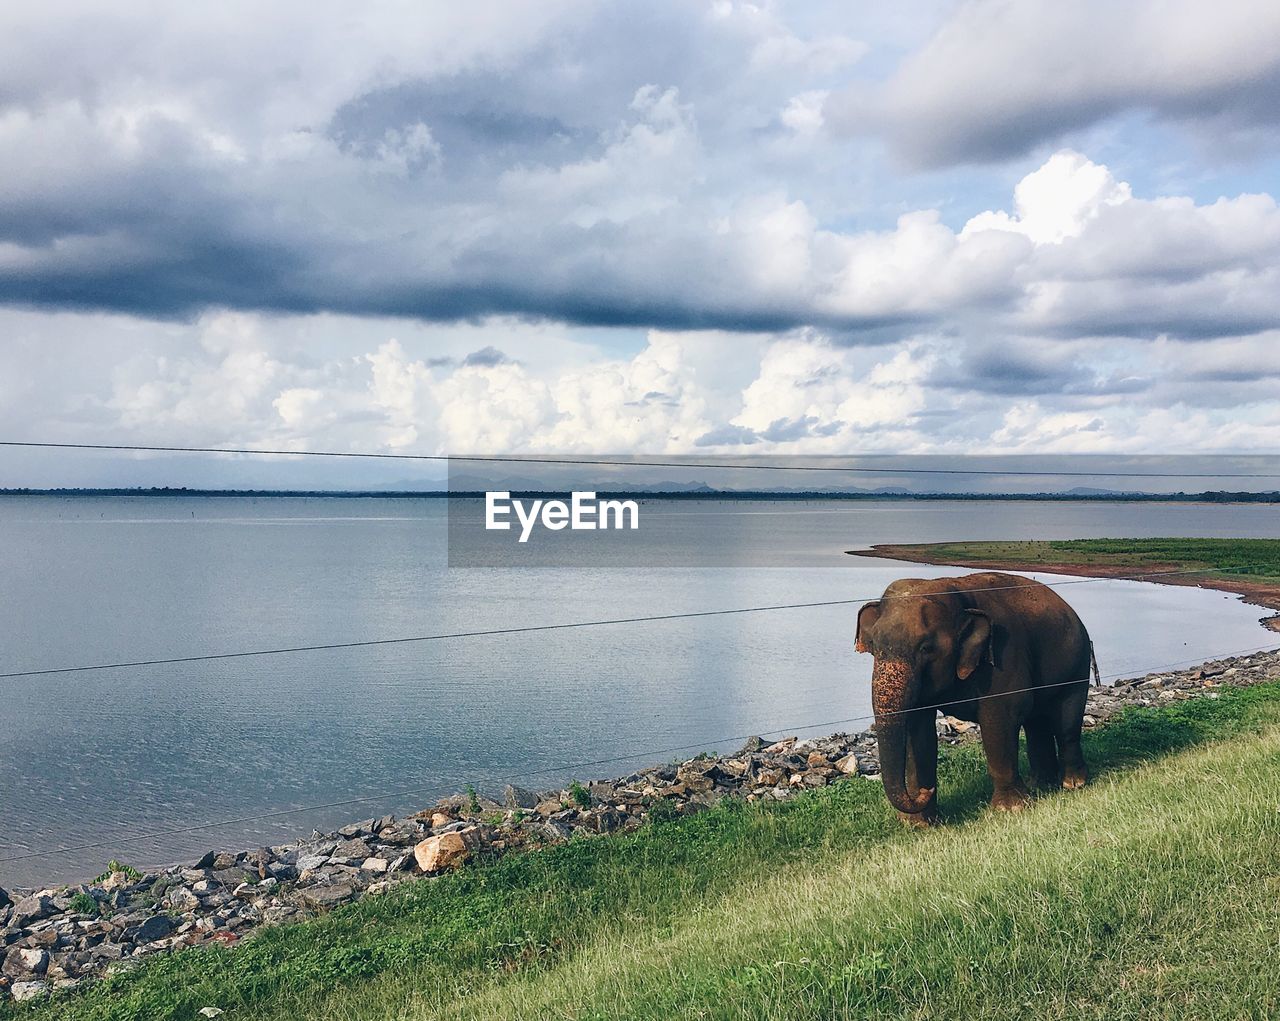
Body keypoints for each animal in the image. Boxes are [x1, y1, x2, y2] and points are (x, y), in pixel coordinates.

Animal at [855, 570, 1095, 829]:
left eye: (926, 648)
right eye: (874, 645)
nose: (925, 791)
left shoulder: (1003, 655)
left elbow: (999, 718)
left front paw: (1009, 809)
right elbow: (918, 732)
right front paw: (918, 824)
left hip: (1078, 663)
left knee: (1066, 723)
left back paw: (1073, 784)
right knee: (1036, 723)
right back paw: (1040, 785)